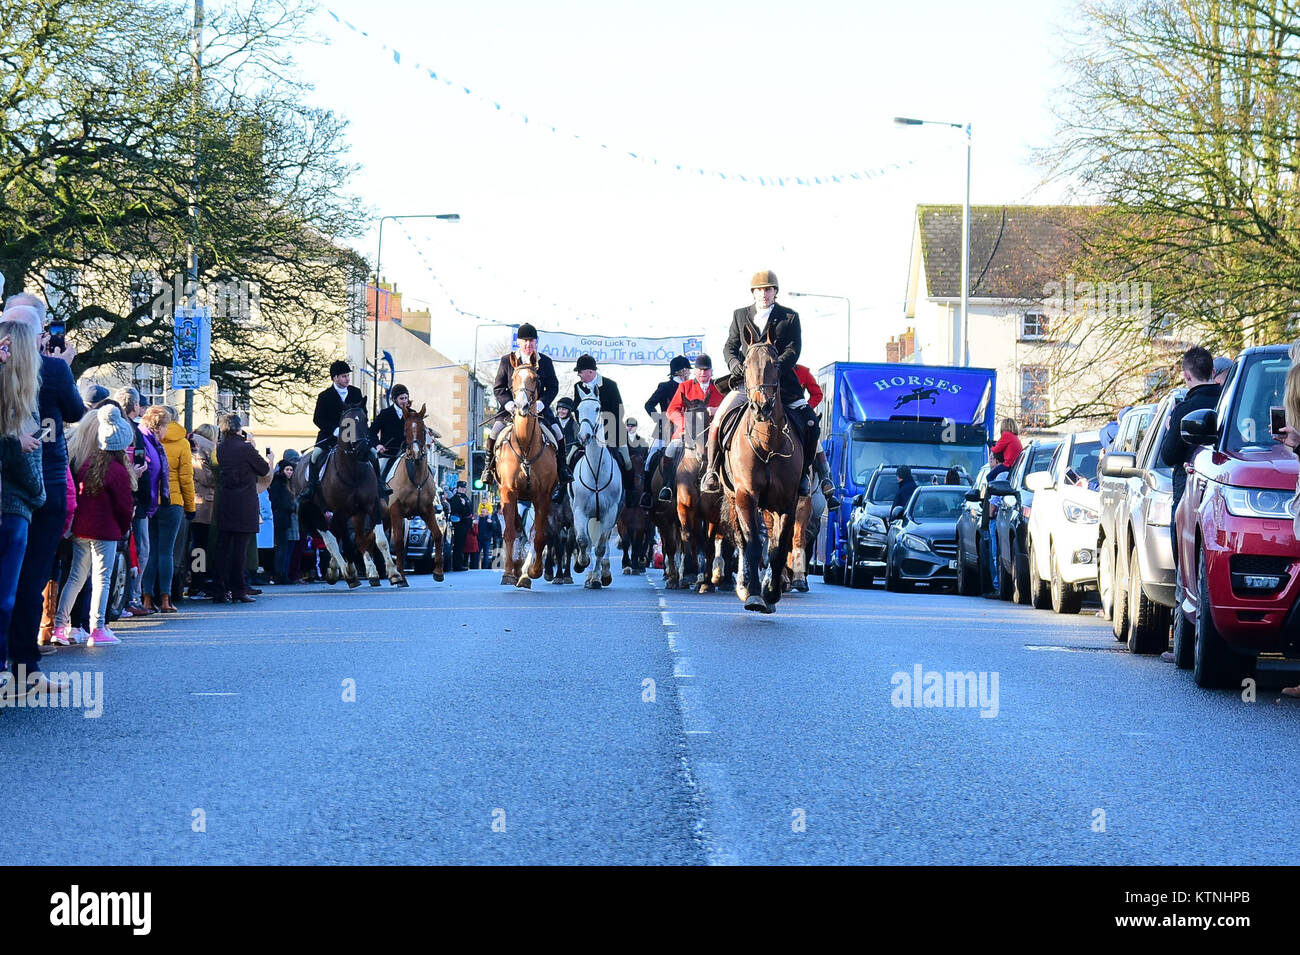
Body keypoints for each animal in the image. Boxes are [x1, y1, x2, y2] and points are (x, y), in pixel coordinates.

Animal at [382, 402, 444, 582]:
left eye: (423, 430)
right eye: (405, 430)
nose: (416, 454)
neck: (413, 476)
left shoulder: (427, 510)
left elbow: (437, 534)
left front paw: (438, 572)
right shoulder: (396, 511)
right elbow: (398, 541)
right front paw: (401, 577)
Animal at [491, 356, 553, 587]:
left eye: (535, 378)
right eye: (514, 378)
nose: (522, 406)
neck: (526, 445)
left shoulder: (543, 495)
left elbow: (540, 536)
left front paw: (533, 571)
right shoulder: (508, 492)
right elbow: (509, 532)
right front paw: (509, 573)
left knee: (532, 532)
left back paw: (525, 572)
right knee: (517, 529)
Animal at [574, 392, 624, 587]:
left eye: (597, 408)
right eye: (578, 409)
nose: (584, 436)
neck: (595, 473)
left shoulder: (609, 513)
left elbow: (601, 547)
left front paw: (596, 578)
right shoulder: (580, 511)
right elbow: (582, 541)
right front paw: (581, 564)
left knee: (603, 545)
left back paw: (602, 574)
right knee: (588, 542)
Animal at [722, 332, 800, 608]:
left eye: (775, 365)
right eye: (745, 365)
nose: (760, 407)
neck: (767, 443)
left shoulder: (787, 501)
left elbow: (778, 549)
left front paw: (771, 591)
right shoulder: (745, 495)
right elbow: (753, 543)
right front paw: (754, 592)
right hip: (733, 498)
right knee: (741, 539)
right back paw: (743, 585)